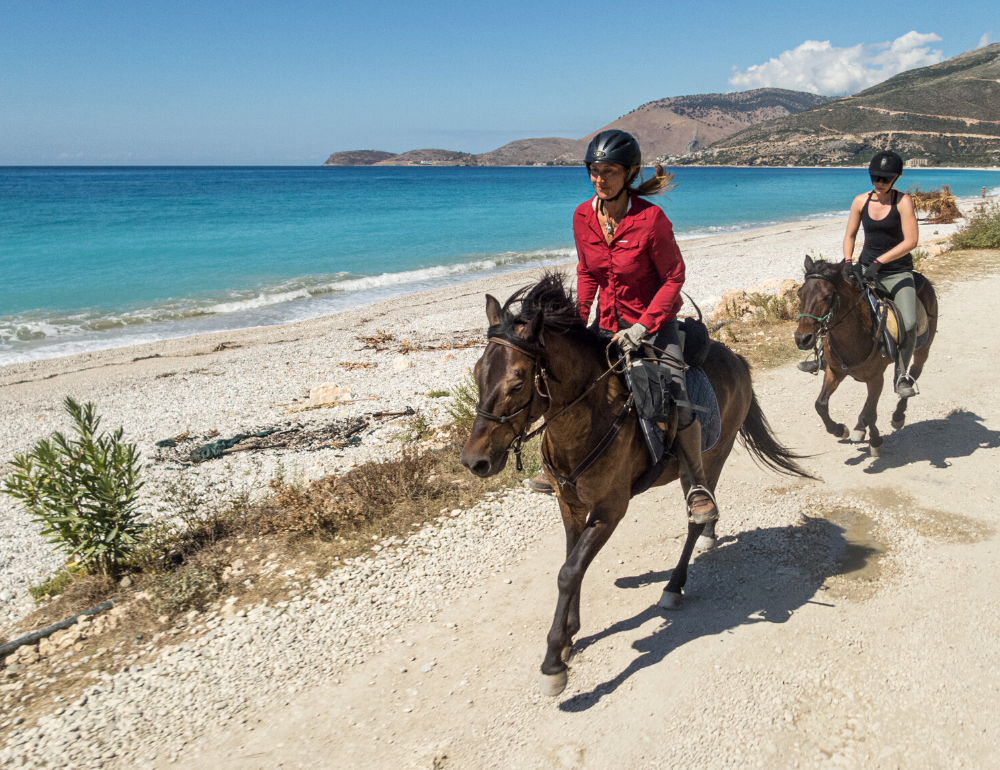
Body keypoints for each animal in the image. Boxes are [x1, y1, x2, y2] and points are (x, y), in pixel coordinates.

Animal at [460, 274, 812, 696]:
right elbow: (571, 562)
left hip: (713, 457)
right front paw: (569, 635)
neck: (587, 419)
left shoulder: (610, 510)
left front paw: (553, 660)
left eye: (516, 382)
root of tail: (737, 360)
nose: (474, 461)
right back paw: (709, 537)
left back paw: (675, 584)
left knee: (696, 513)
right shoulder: (570, 505)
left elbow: (569, 571)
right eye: (478, 373)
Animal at [796, 255, 936, 456]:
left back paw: (898, 413)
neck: (854, 334)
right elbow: (820, 405)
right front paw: (839, 429)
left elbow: (871, 414)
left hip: (922, 348)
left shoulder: (876, 378)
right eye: (799, 294)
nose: (802, 339)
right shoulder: (834, 371)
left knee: (913, 373)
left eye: (827, 296)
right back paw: (859, 427)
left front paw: (876, 441)